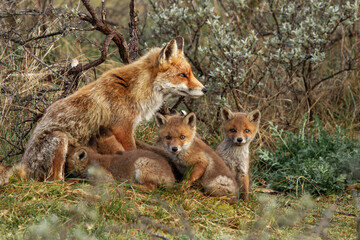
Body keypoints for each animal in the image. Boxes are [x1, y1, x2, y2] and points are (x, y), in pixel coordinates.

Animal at [14, 35, 205, 182]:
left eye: (190, 73)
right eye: (183, 75)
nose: (205, 89)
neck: (133, 89)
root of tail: (23, 164)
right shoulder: (122, 129)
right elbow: (133, 151)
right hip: (60, 138)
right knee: (54, 180)